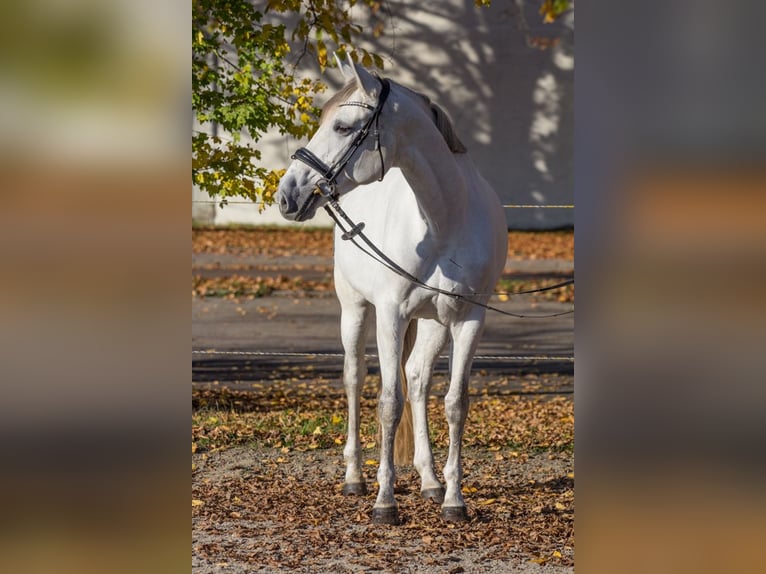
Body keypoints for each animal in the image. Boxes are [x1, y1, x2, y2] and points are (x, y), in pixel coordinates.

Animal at [278, 57, 510, 528]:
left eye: (343, 127)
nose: (287, 195)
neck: (443, 220)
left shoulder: (469, 318)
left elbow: (455, 403)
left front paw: (454, 499)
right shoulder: (390, 314)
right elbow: (388, 402)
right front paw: (384, 502)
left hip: (434, 323)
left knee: (418, 379)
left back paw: (430, 481)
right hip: (354, 311)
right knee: (354, 378)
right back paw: (354, 477)